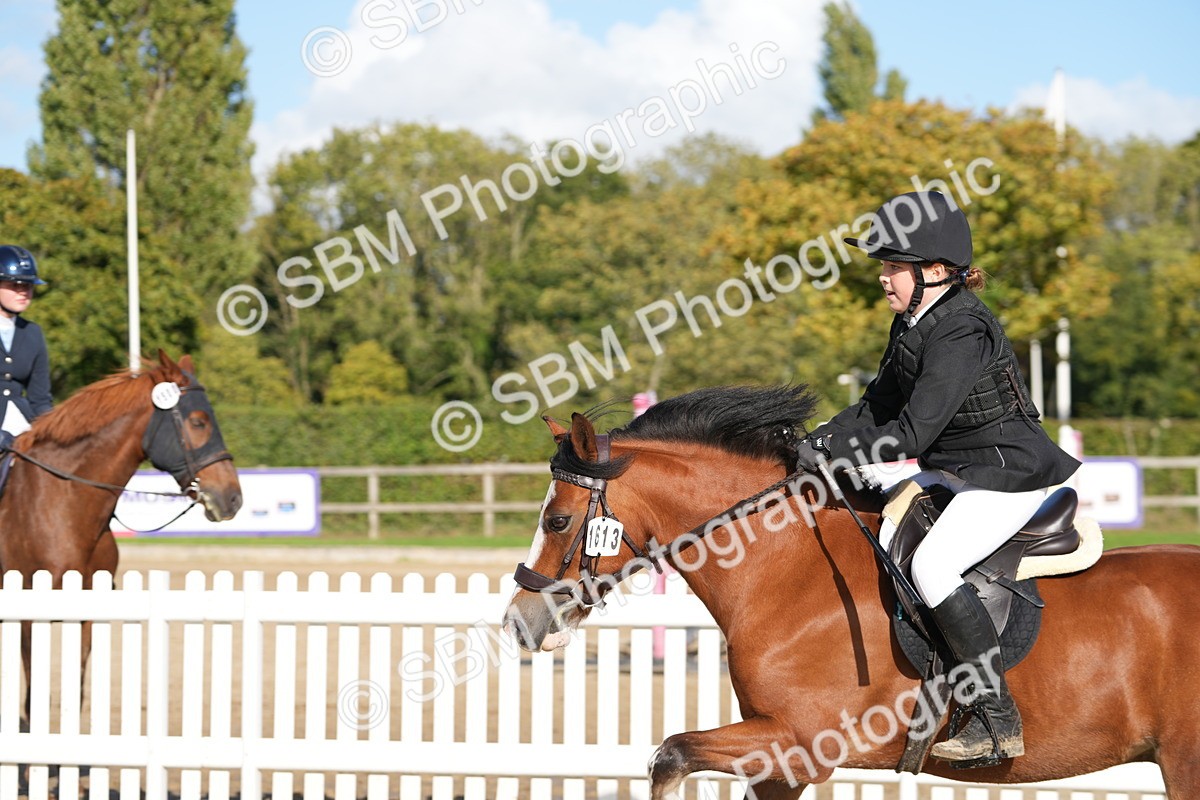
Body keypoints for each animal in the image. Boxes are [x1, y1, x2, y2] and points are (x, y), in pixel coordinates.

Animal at [0, 350, 242, 718]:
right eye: (199, 422)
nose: (233, 498)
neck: (64, 504)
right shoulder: (28, 619)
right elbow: (31, 705)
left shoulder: (85, 618)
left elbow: (76, 691)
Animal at [502, 385, 1200, 799]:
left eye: (557, 521)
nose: (519, 623)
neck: (788, 571)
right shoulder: (779, 759)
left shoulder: (798, 741)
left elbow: (669, 756)